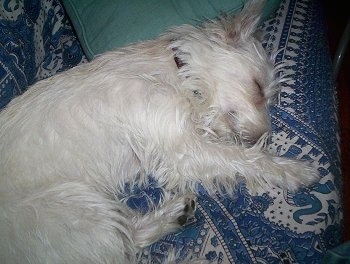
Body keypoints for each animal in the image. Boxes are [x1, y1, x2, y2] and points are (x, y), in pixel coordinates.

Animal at [0, 1, 318, 262]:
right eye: (257, 88)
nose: (266, 136)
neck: (179, 73)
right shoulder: (184, 149)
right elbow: (244, 157)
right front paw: (294, 170)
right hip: (77, 206)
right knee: (125, 245)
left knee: (130, 237)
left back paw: (175, 215)